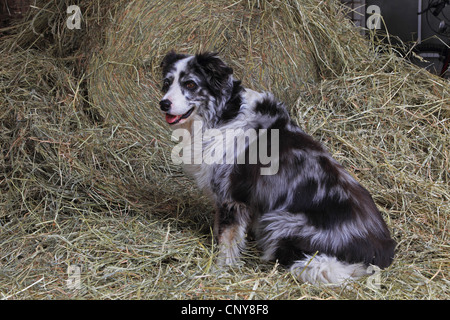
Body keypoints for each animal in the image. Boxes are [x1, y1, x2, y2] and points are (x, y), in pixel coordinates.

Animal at [157, 51, 394, 284]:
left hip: (281, 221)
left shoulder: (231, 196)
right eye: (167, 83)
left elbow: (227, 239)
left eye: (190, 84)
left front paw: (220, 269)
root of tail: (383, 252)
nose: (163, 104)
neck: (223, 114)